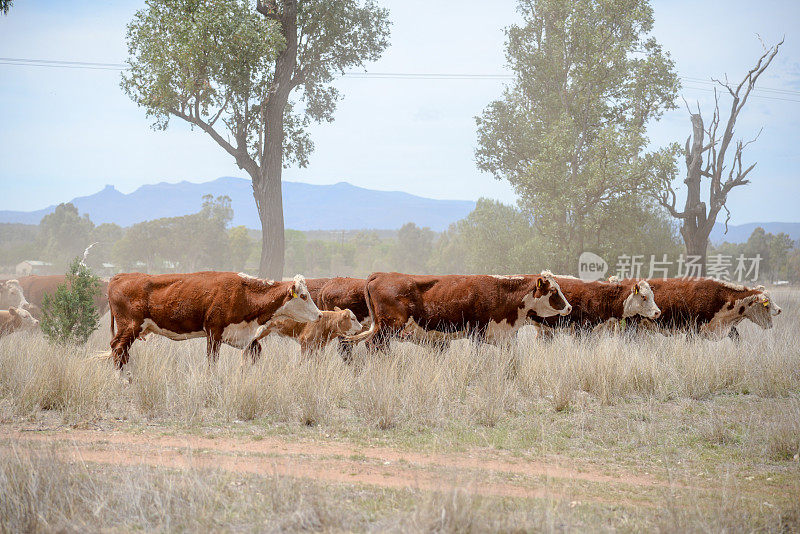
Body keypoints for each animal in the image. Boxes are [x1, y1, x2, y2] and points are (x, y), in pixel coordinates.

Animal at [107, 272, 322, 368]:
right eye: (304, 296)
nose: (320, 314)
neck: (244, 293)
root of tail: (121, 276)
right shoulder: (213, 332)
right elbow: (212, 361)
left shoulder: (243, 336)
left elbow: (255, 353)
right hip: (130, 327)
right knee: (118, 349)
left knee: (122, 351)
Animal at [346, 272, 572, 352]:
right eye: (553, 290)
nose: (569, 307)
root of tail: (381, 275)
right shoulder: (477, 333)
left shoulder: (502, 336)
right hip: (388, 327)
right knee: (373, 345)